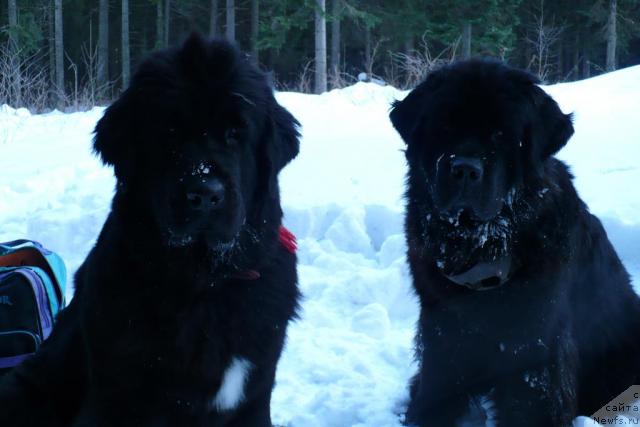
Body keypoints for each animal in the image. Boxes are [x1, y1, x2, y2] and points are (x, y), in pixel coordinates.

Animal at [0, 34, 300, 427]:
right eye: (168, 134)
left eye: (235, 134)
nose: (205, 194)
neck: (204, 284)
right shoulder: (116, 399)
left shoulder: (254, 396)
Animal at [388, 61, 640, 427]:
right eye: (444, 126)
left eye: (501, 135)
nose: (464, 169)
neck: (482, 245)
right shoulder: (442, 330)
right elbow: (436, 387)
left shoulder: (535, 342)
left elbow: (532, 403)